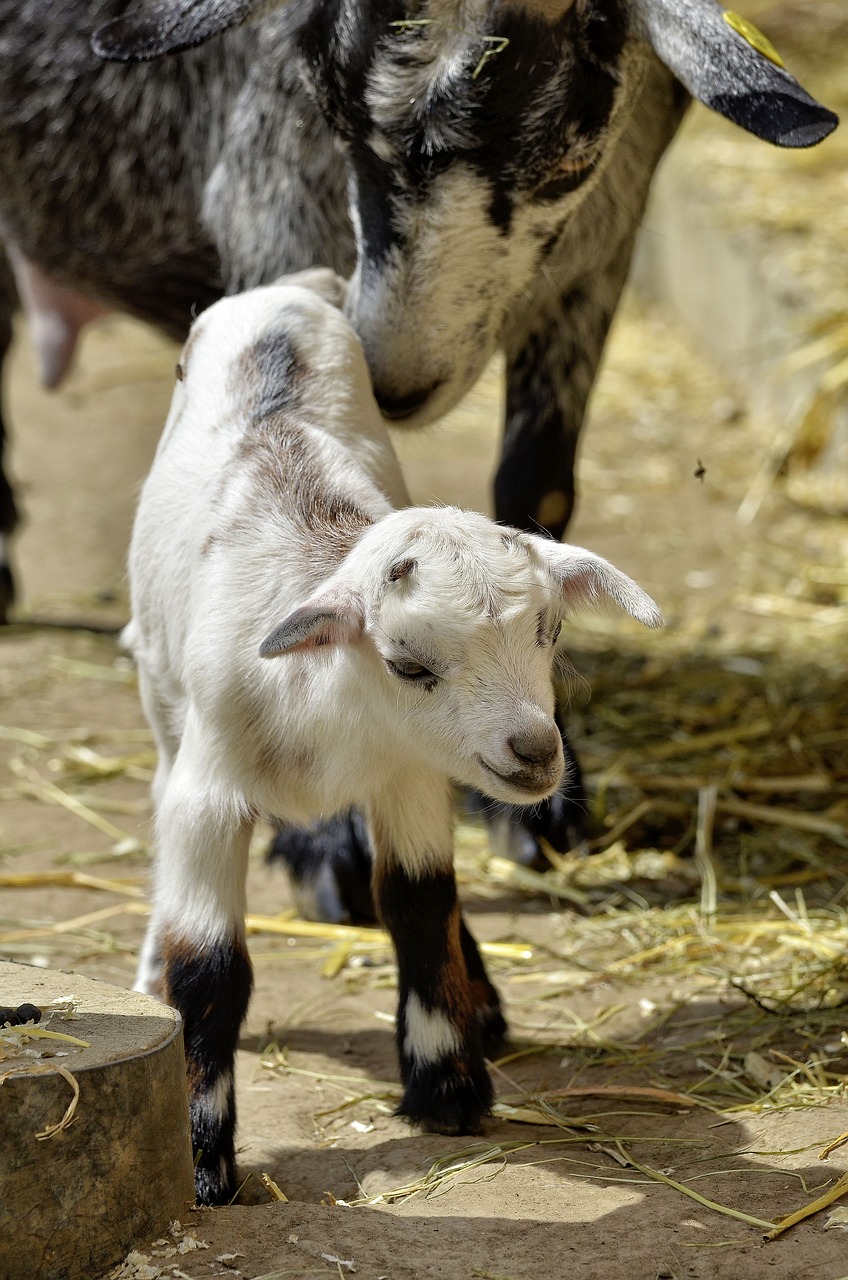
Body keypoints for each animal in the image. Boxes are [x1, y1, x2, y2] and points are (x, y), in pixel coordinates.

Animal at [128, 264, 666, 1203]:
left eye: (550, 631)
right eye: (408, 664)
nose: (537, 752)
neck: (323, 705)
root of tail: (285, 291)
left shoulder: (409, 777)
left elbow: (419, 902)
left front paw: (447, 1086)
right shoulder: (208, 791)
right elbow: (212, 967)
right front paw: (201, 1159)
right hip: (163, 700)